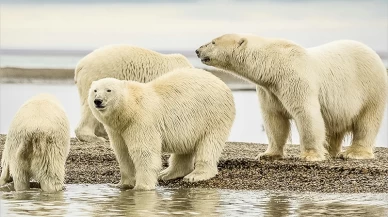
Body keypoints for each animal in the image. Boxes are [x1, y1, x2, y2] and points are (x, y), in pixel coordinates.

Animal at [87, 68, 235, 190]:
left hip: (212, 115)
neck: (129, 110)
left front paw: (142, 187)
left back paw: (195, 175)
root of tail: (222, 83)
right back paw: (167, 173)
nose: (98, 101)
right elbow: (123, 152)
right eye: (95, 90)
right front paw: (122, 184)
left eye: (109, 90)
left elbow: (144, 151)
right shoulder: (117, 129)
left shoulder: (141, 121)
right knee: (184, 147)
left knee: (209, 144)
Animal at [197, 33, 388, 161]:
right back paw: (330, 151)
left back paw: (355, 153)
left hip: (371, 87)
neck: (273, 64)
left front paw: (310, 155)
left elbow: (306, 114)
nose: (198, 50)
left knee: (367, 121)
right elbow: (274, 119)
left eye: (213, 42)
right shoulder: (269, 90)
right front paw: (267, 154)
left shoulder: (295, 79)